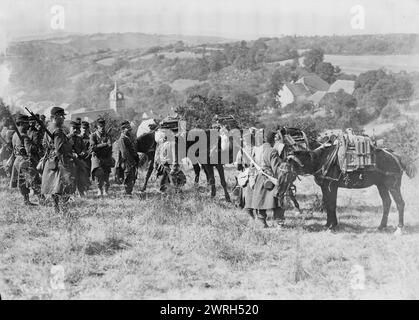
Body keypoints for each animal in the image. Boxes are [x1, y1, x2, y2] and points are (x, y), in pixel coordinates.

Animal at [288, 142, 418, 232]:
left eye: (289, 163)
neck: (322, 160)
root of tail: (395, 155)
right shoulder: (325, 188)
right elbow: (327, 203)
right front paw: (329, 224)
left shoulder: (331, 186)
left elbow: (331, 204)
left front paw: (332, 225)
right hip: (381, 185)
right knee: (387, 202)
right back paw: (381, 226)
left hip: (393, 185)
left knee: (400, 203)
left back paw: (399, 228)